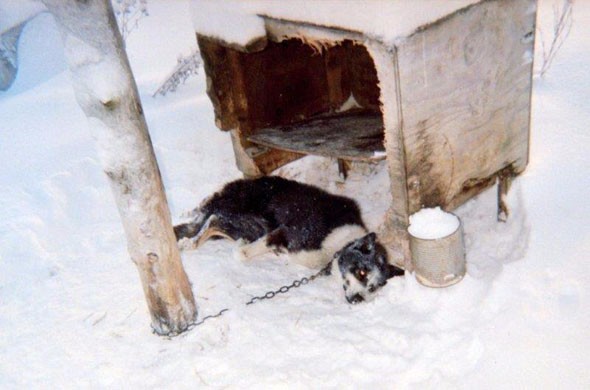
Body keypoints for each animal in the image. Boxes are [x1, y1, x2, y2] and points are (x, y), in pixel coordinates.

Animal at [176, 175, 408, 304]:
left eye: (374, 288)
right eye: (362, 272)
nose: (359, 300)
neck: (336, 244)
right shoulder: (284, 232)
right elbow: (244, 254)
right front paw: (243, 251)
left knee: (208, 224)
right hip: (253, 220)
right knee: (213, 220)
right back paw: (192, 241)